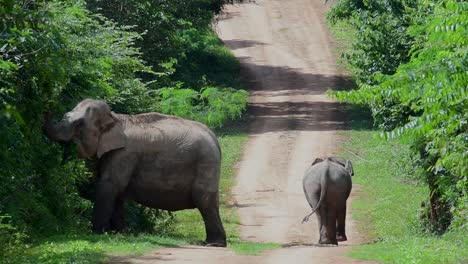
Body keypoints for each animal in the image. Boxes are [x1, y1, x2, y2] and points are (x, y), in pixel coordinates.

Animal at [44, 99, 227, 248]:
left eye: (79, 124)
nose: (49, 102)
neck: (116, 118)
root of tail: (215, 139)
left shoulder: (125, 154)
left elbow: (109, 185)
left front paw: (97, 233)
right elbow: (116, 192)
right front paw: (119, 233)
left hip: (206, 163)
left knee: (204, 200)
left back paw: (214, 244)